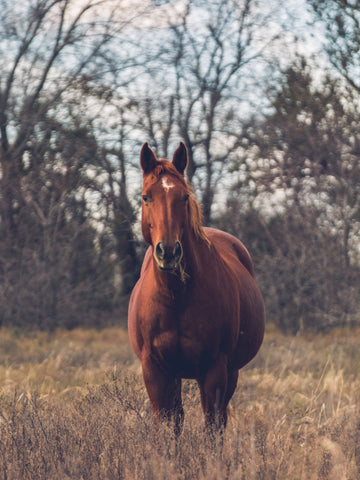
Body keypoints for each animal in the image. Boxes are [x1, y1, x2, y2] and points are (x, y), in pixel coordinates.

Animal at [129, 141, 264, 436]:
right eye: (146, 197)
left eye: (184, 197)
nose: (168, 251)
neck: (176, 298)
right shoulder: (155, 369)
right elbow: (166, 424)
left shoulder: (214, 369)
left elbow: (212, 427)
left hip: (231, 371)